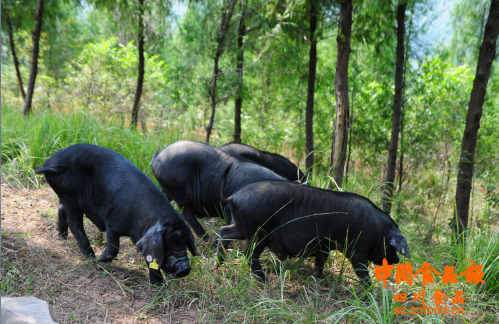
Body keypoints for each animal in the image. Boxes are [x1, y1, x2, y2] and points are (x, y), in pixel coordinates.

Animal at [33, 144, 195, 286]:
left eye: (185, 244)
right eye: (167, 246)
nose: (185, 268)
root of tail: (52, 162)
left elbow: (151, 259)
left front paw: (158, 286)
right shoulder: (112, 223)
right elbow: (114, 248)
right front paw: (100, 259)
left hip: (65, 196)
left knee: (61, 208)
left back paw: (63, 238)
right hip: (69, 196)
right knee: (75, 224)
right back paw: (90, 256)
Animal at [150, 140, 286, 243]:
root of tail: (157, 157)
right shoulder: (228, 208)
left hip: (167, 189)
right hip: (179, 191)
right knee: (188, 215)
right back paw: (208, 239)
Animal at [221, 181, 412, 284]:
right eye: (391, 247)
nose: (397, 260)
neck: (380, 231)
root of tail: (235, 196)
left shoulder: (324, 247)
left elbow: (320, 262)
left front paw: (317, 279)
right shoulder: (358, 250)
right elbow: (361, 270)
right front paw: (370, 288)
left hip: (242, 228)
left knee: (223, 232)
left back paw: (219, 263)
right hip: (258, 232)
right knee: (249, 253)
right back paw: (265, 280)